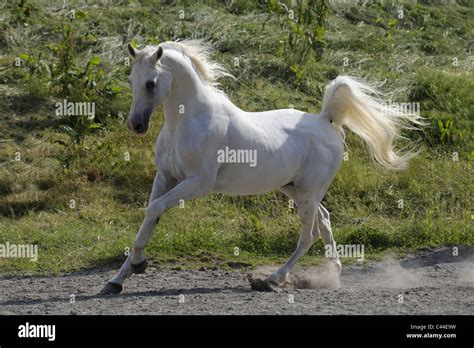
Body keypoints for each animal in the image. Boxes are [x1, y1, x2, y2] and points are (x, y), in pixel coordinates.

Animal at [100, 40, 418, 294]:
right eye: (130, 79)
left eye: (151, 83)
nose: (136, 125)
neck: (187, 122)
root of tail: (325, 120)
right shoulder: (165, 177)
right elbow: (149, 219)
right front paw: (117, 279)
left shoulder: (197, 183)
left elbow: (154, 210)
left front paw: (138, 265)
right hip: (295, 189)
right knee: (325, 221)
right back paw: (332, 275)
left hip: (307, 193)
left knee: (309, 234)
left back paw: (273, 279)